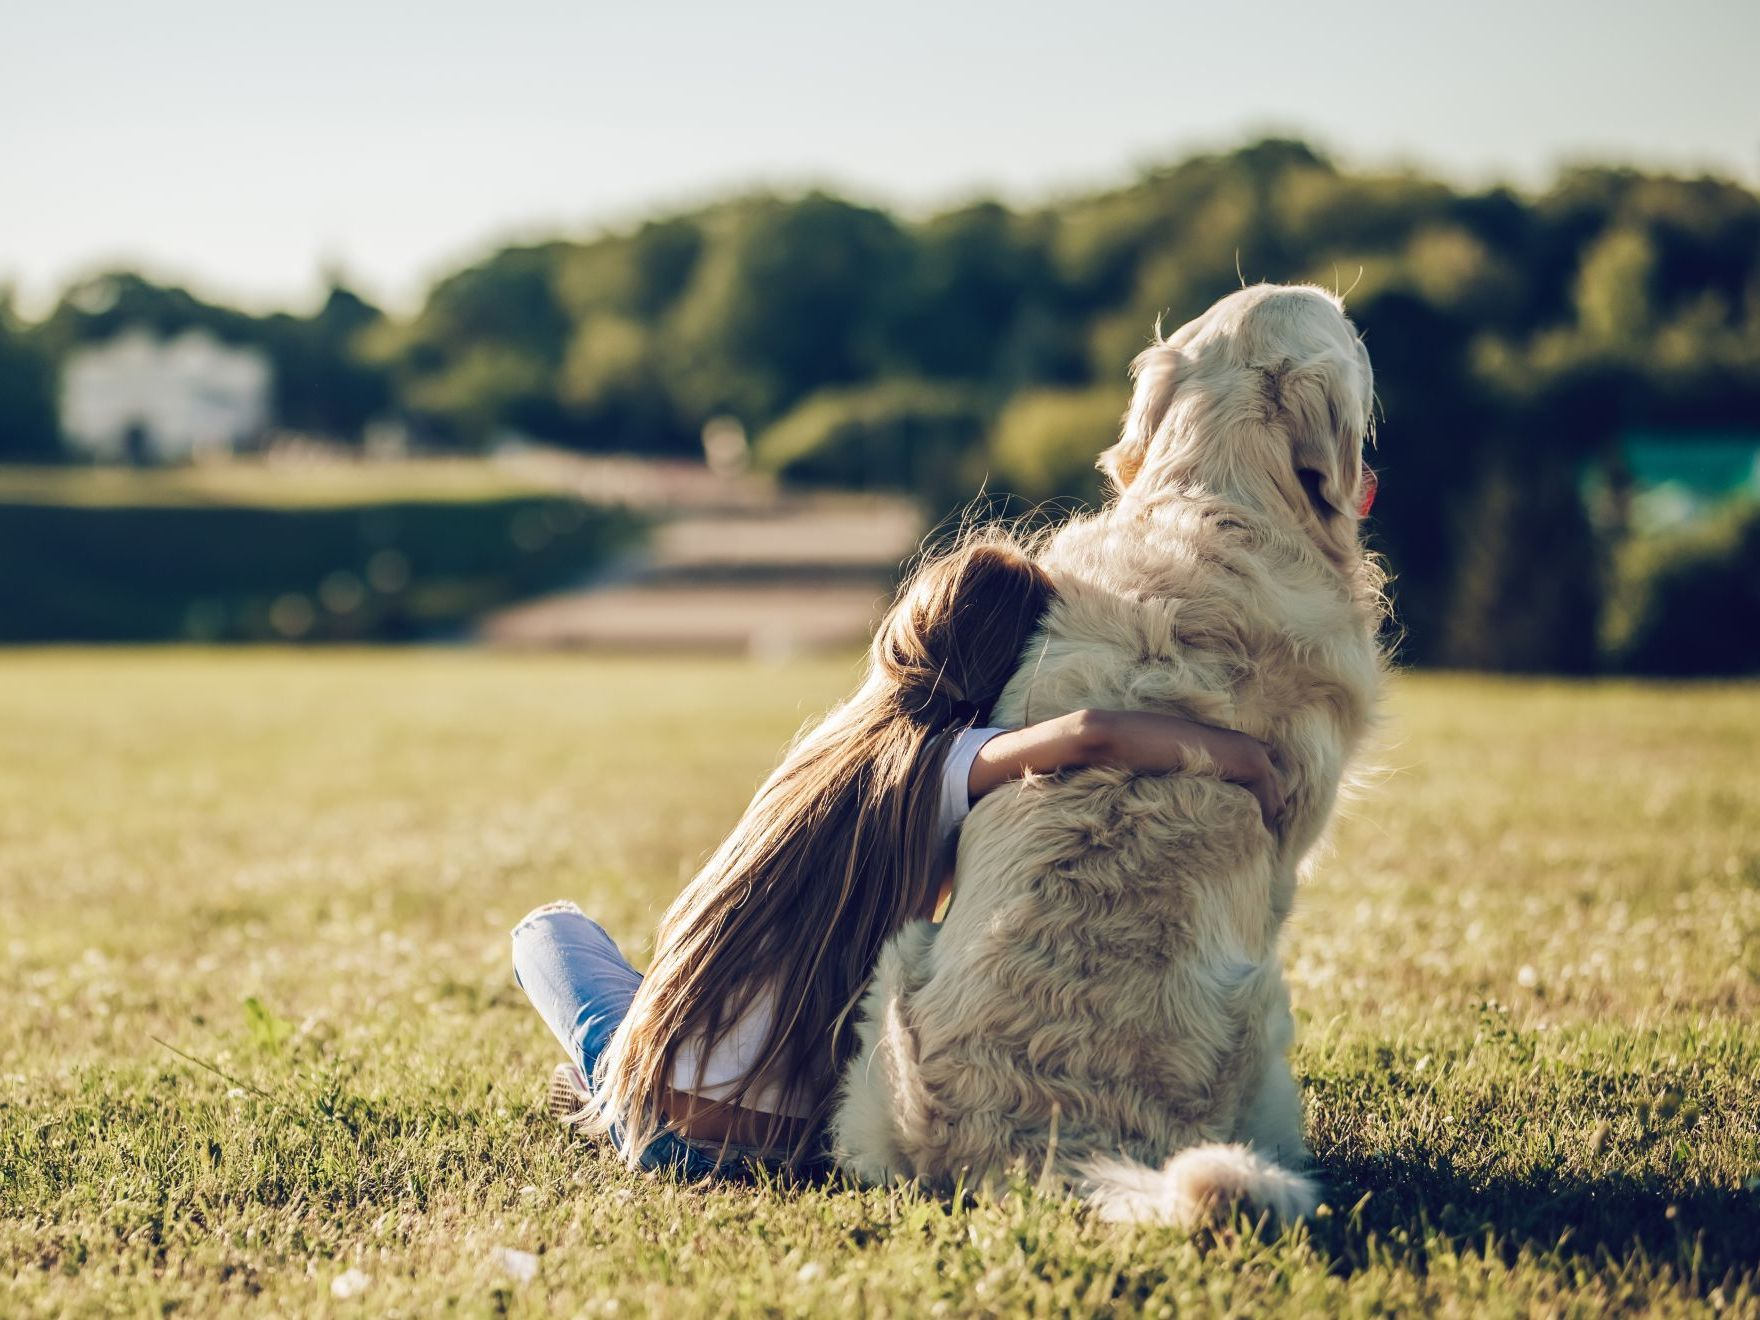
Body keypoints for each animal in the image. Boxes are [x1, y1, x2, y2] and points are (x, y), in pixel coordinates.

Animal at [830, 285, 1379, 1239]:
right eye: (1348, 333)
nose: (1364, 321)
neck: (1216, 499)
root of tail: (1047, 1141)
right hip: (1266, 1011)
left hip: (892, 980)